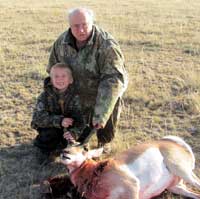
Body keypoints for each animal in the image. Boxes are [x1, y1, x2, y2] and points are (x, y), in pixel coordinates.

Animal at [60, 136, 200, 198]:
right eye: (68, 144)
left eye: (85, 149)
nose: (64, 152)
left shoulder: (132, 186)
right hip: (175, 187)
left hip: (183, 171)